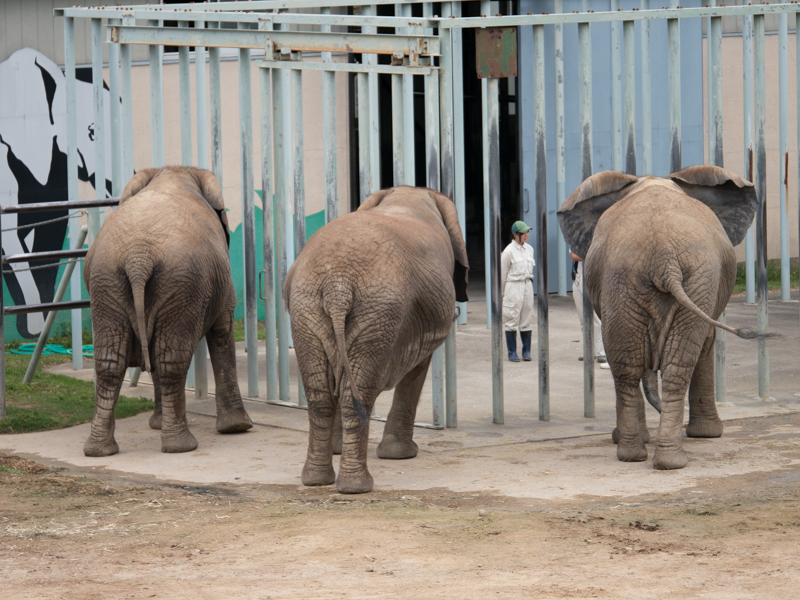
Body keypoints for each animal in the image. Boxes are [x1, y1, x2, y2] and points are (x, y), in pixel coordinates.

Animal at [81, 166, 250, 458]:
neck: (174, 172)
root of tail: (137, 257)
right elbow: (222, 330)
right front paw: (238, 427)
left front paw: (157, 424)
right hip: (183, 283)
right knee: (172, 359)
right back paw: (181, 446)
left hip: (108, 282)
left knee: (111, 361)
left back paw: (99, 450)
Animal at [284, 186, 468, 492]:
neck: (408, 194)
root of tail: (338, 284)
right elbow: (416, 371)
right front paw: (402, 455)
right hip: (378, 313)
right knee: (355, 393)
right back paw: (357, 486)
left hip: (308, 309)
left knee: (321, 394)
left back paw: (316, 480)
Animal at [560, 166, 760, 472]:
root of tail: (663, 252)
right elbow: (707, 343)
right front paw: (708, 434)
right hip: (674, 279)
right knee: (671, 366)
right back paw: (664, 457)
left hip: (629, 279)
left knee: (630, 367)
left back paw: (639, 455)